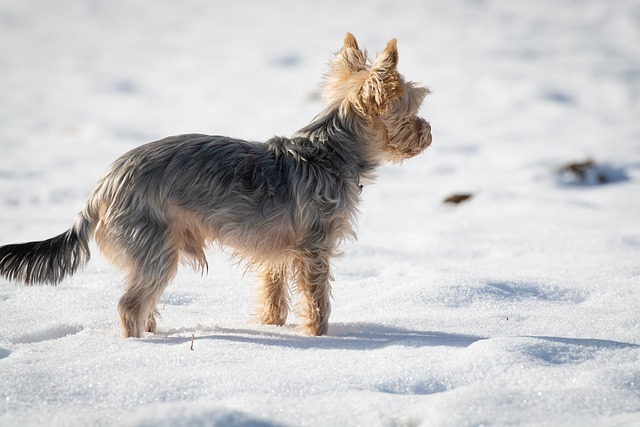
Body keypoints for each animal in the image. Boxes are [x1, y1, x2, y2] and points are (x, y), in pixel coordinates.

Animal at [0, 33, 432, 340]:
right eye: (413, 111)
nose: (429, 132)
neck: (329, 151)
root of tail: (100, 190)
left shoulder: (278, 252)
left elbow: (273, 295)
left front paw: (272, 327)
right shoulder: (315, 248)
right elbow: (317, 299)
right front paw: (319, 337)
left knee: (143, 302)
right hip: (156, 248)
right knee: (129, 304)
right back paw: (141, 348)